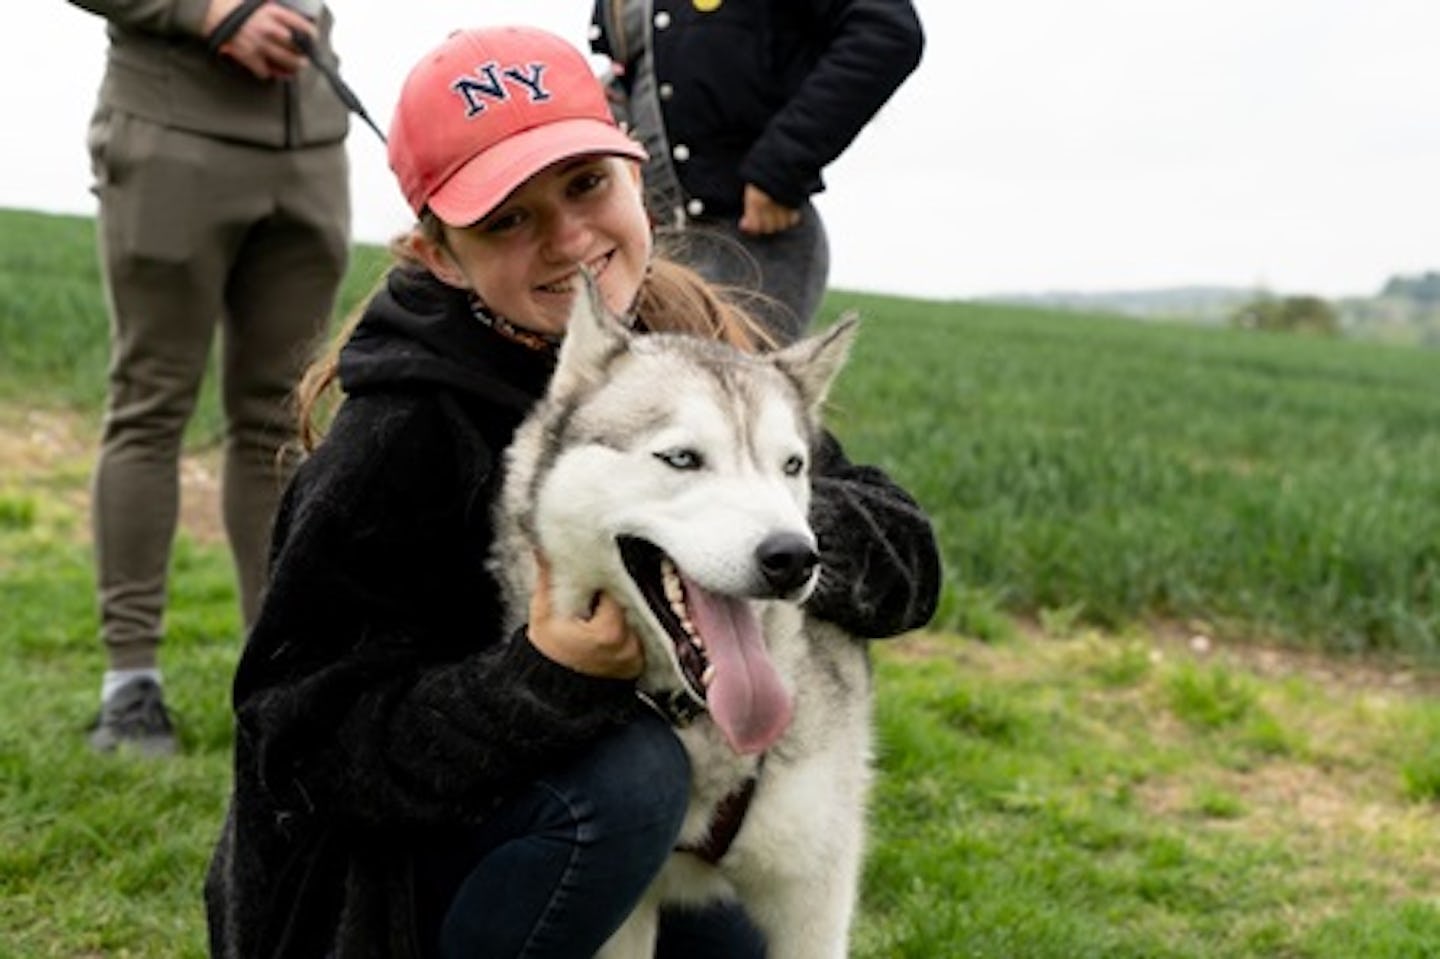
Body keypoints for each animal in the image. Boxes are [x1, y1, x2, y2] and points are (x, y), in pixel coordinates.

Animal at [498, 277, 864, 956]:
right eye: (683, 459)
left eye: (792, 465)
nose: (793, 557)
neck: (706, 723)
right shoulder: (625, 917)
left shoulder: (815, 898)